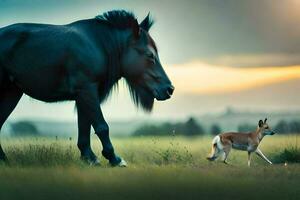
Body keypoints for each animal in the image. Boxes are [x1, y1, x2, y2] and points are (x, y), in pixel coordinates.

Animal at [0, 10, 173, 166]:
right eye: (150, 55)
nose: (169, 89)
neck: (98, 46)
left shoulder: (84, 95)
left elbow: (85, 127)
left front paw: (89, 157)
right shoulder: (87, 91)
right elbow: (101, 126)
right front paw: (114, 158)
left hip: (11, 93)